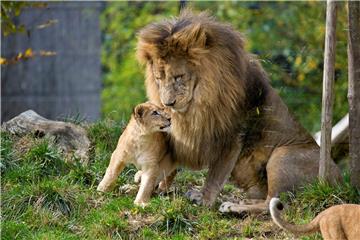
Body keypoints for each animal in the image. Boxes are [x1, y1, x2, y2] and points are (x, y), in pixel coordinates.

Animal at [135, 10, 340, 214]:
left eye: (179, 77)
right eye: (158, 78)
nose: (168, 103)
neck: (198, 104)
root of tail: (339, 179)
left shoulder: (232, 135)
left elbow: (216, 174)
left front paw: (204, 199)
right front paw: (154, 182)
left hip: (282, 155)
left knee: (274, 204)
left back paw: (232, 207)